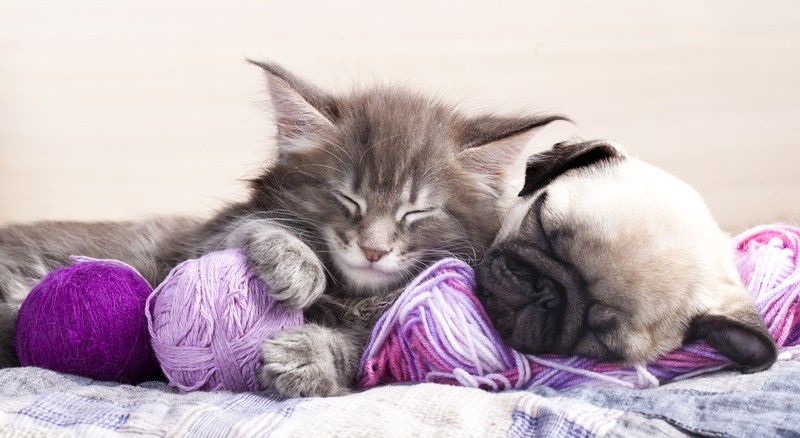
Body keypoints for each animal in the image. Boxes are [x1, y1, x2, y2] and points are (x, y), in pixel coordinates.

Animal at [1, 61, 564, 396]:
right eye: (348, 199)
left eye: (414, 213)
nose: (373, 250)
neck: (354, 293)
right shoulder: (196, 241)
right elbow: (248, 223)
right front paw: (293, 260)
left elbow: (369, 352)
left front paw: (307, 353)